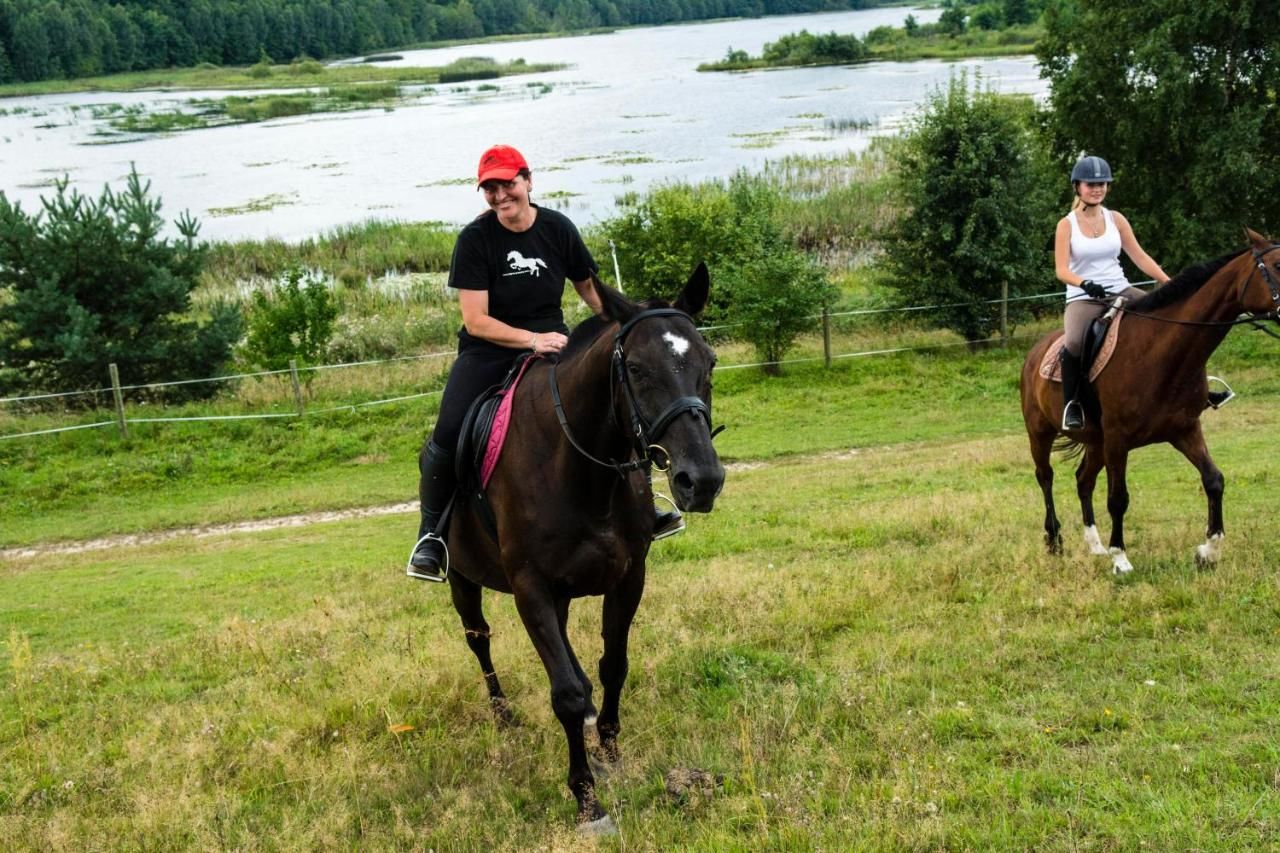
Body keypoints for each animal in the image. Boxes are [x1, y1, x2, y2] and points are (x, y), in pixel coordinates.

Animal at [442, 263, 727, 829]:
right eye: (636, 367)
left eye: (708, 362)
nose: (701, 480)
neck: (581, 470)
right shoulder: (530, 588)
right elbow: (568, 695)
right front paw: (586, 798)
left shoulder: (628, 576)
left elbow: (612, 665)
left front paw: (611, 752)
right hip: (464, 580)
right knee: (478, 639)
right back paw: (503, 716)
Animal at [1018, 227, 1280, 571]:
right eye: (1277, 266)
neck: (1161, 354)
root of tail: (1034, 352)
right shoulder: (1118, 439)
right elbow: (1118, 498)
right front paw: (1121, 559)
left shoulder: (1184, 429)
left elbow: (1214, 480)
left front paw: (1208, 551)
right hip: (1040, 433)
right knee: (1045, 478)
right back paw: (1055, 541)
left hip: (1096, 441)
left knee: (1083, 480)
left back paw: (1095, 545)